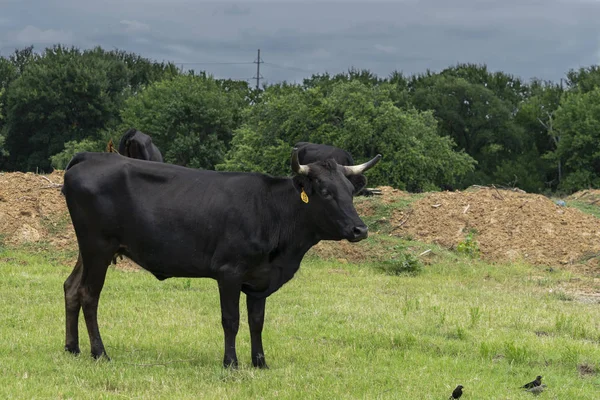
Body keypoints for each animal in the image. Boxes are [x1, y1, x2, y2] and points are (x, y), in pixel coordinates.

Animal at [61, 148, 380, 368]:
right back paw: (100, 353)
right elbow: (231, 319)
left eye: (351, 191)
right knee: (89, 295)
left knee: (71, 288)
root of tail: (90, 157)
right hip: (98, 248)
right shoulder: (229, 271)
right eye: (325, 192)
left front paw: (260, 362)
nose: (360, 229)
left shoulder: (260, 278)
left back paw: (72, 348)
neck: (272, 211)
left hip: (87, 251)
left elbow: (257, 321)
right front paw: (231, 363)